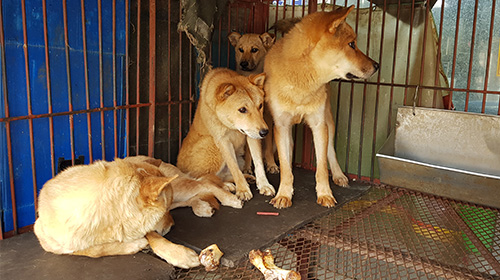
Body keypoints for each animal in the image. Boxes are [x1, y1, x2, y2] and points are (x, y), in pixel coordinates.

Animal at [34, 156, 241, 268]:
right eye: (163, 211)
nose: (172, 225)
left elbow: (154, 237)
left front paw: (177, 254)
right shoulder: (48, 239)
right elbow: (93, 251)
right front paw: (134, 245)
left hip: (179, 186)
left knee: (205, 183)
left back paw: (229, 195)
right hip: (180, 194)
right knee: (199, 190)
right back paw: (202, 205)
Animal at [178, 69, 276, 202]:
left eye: (260, 106)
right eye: (242, 109)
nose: (265, 132)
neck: (232, 127)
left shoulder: (252, 136)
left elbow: (258, 163)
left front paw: (264, 185)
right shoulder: (222, 141)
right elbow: (234, 168)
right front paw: (243, 189)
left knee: (222, 175)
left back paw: (243, 178)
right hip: (212, 145)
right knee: (202, 179)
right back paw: (226, 185)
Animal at [229, 31, 280, 175]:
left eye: (254, 50)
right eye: (240, 49)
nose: (243, 63)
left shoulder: (267, 118)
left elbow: (267, 147)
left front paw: (271, 165)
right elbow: (248, 150)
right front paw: (247, 167)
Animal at [266, 6, 378, 208]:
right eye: (351, 44)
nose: (377, 65)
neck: (302, 82)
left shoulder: (319, 125)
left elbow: (322, 167)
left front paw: (325, 194)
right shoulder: (282, 125)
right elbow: (285, 167)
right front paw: (284, 194)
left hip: (329, 121)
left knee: (330, 150)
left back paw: (339, 175)